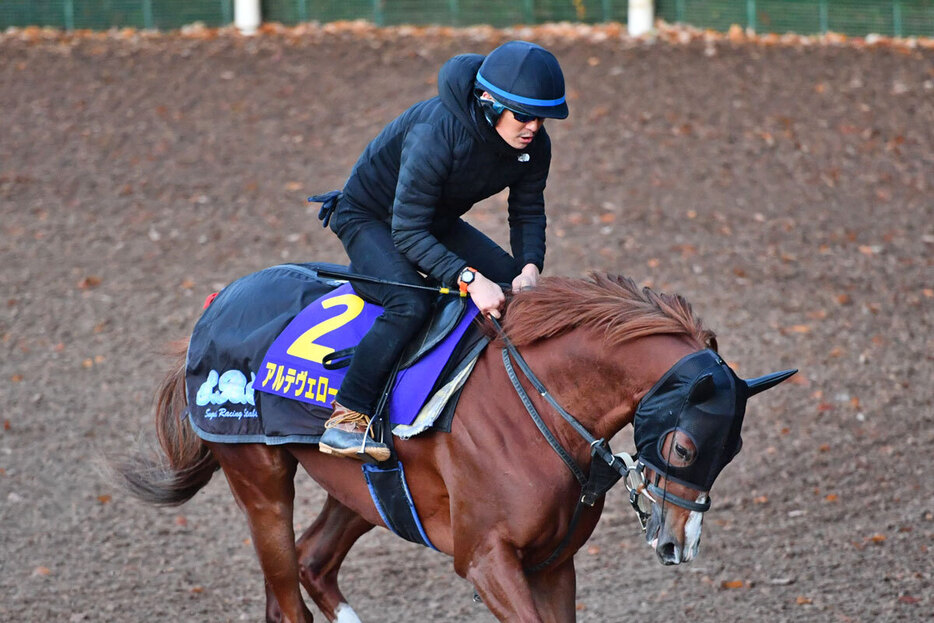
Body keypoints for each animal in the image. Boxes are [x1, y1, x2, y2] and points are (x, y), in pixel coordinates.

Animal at [117, 270, 796, 623]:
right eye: (683, 448)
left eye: (732, 451)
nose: (680, 543)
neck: (539, 406)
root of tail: (220, 301)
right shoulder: (486, 560)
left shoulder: (553, 564)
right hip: (260, 479)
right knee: (289, 598)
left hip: (363, 487)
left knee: (311, 561)